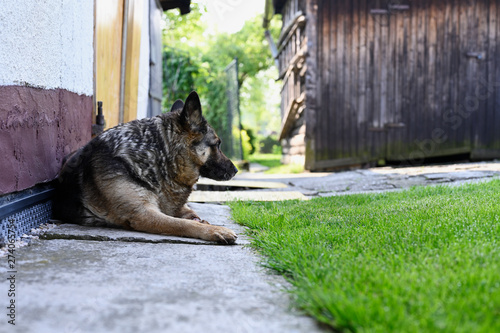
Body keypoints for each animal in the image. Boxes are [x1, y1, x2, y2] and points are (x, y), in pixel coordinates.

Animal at [52, 91, 238, 244]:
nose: (235, 170)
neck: (158, 157)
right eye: (217, 144)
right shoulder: (143, 214)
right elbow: (182, 224)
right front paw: (214, 230)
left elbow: (189, 215)